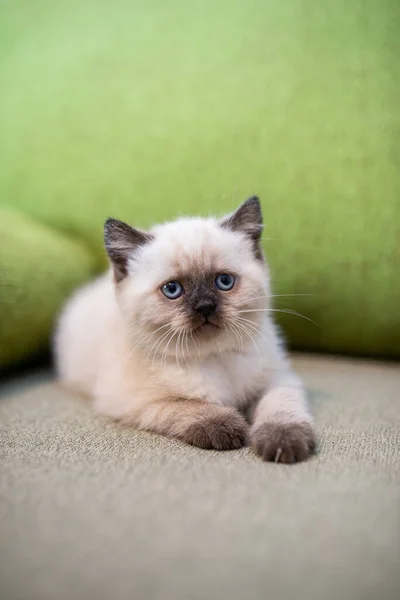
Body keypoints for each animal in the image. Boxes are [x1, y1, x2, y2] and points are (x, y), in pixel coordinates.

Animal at [54, 199, 316, 462]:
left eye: (224, 281)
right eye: (172, 289)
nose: (205, 307)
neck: (212, 356)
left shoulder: (277, 379)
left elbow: (280, 407)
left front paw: (283, 443)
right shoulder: (133, 400)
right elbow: (187, 405)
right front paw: (227, 428)